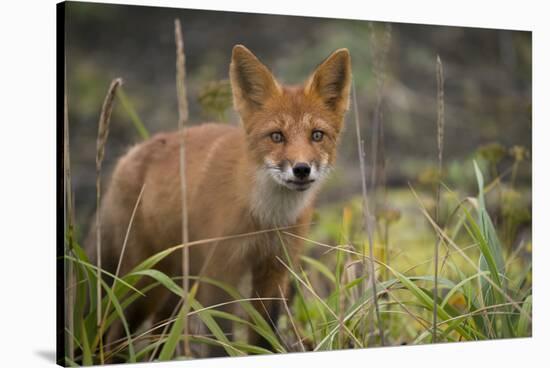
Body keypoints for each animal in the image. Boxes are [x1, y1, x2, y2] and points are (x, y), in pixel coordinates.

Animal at [86, 43, 354, 356]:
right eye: (277, 136)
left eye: (317, 135)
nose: (301, 169)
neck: (265, 218)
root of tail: (128, 156)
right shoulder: (220, 271)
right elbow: (221, 339)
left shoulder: (274, 271)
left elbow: (262, 337)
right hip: (145, 281)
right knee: (116, 335)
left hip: (174, 287)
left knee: (156, 337)